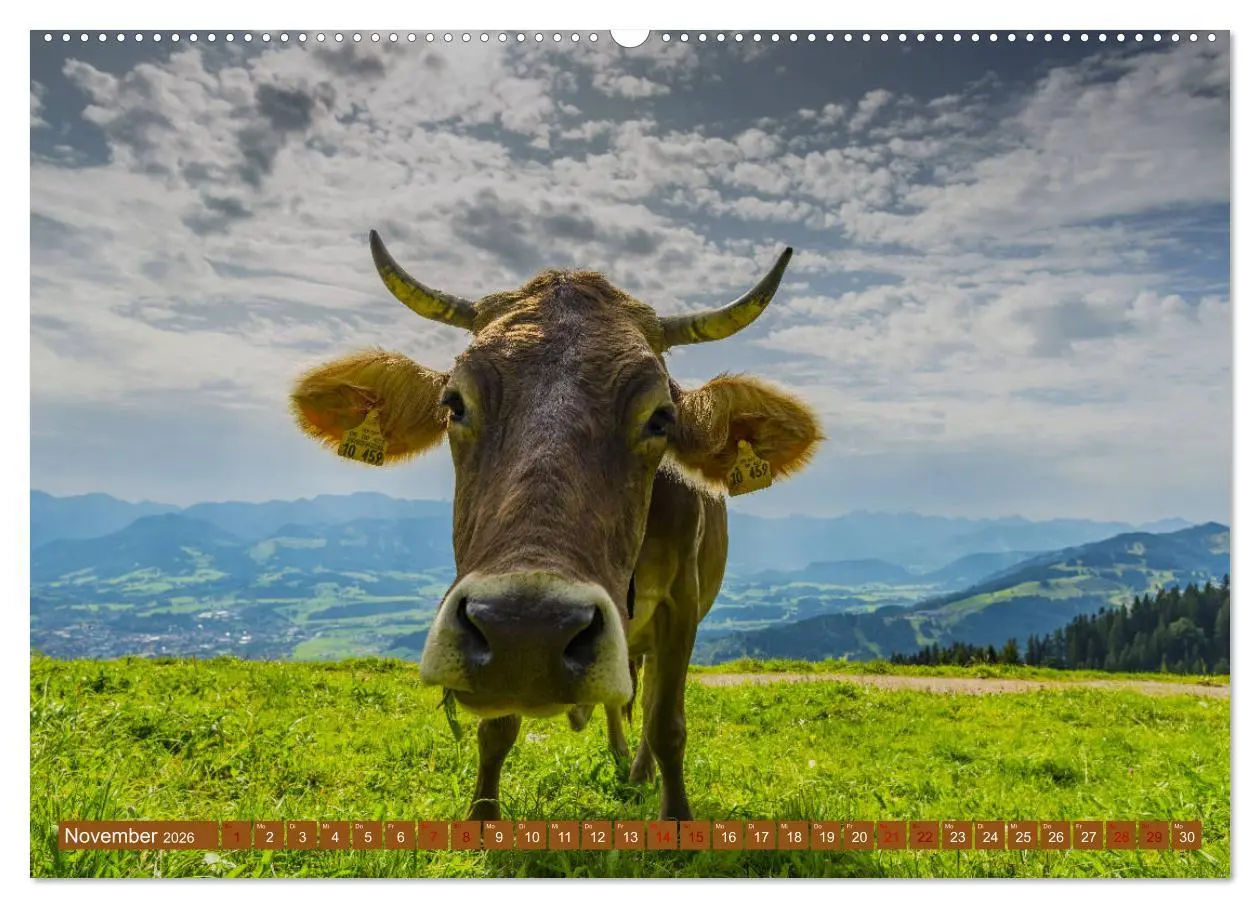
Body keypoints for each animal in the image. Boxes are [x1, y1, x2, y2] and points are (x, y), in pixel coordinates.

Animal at [289, 231, 822, 821]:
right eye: (454, 403)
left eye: (661, 418)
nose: (528, 630)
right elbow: (497, 730)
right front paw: (482, 819)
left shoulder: (683, 603)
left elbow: (667, 723)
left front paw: (675, 816)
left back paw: (637, 771)